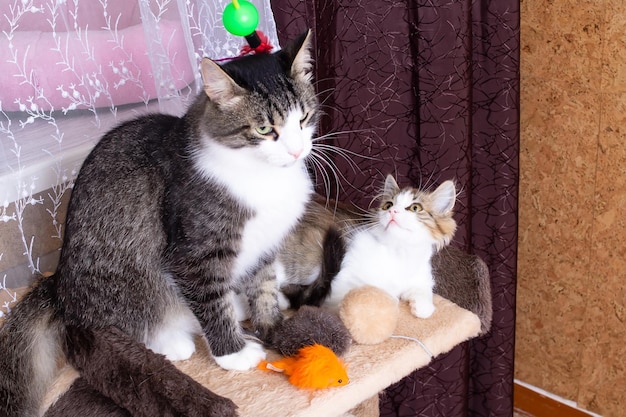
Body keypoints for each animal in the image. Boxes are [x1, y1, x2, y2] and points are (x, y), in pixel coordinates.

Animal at [0, 30, 314, 414]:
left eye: (304, 118)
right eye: (265, 128)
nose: (297, 151)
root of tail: (59, 286)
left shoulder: (265, 244)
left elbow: (264, 287)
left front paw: (274, 327)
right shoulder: (192, 255)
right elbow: (211, 302)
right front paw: (233, 353)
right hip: (127, 285)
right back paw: (171, 341)